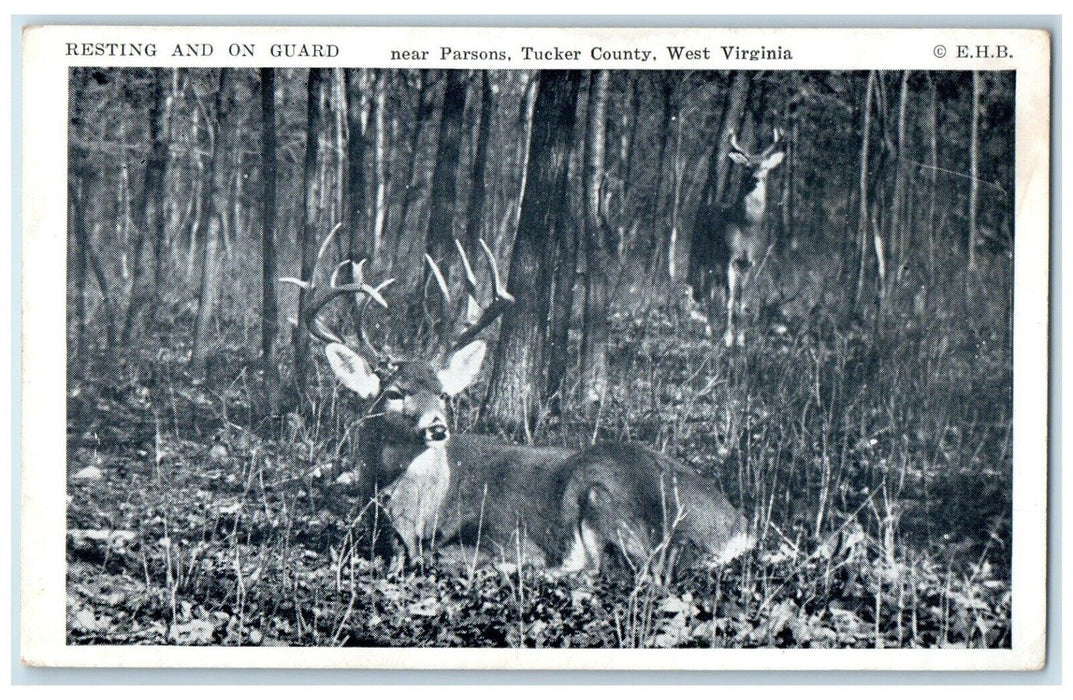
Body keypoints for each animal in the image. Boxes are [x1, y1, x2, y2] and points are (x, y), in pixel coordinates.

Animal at [284, 232, 753, 578]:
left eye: (443, 392)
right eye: (395, 392)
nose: (438, 427)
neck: (413, 512)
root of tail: (737, 524)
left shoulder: (502, 533)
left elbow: (449, 554)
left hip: (604, 491)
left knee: (629, 568)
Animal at [689, 127, 785, 347]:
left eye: (765, 168)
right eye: (747, 167)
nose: (756, 178)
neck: (746, 228)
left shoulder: (752, 262)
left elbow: (743, 301)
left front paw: (740, 338)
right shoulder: (728, 258)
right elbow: (730, 300)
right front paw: (728, 338)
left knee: (713, 292)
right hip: (700, 254)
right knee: (706, 292)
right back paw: (709, 330)